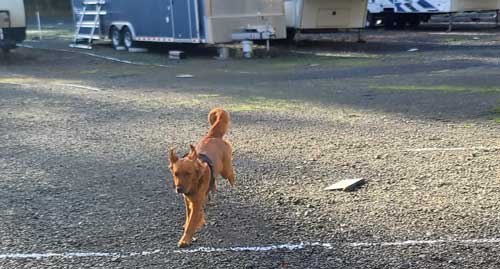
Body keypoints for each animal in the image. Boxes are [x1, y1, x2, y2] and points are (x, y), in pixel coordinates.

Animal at [169, 107, 235, 247]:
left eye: (188, 173)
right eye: (176, 174)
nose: (179, 189)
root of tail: (212, 136)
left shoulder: (196, 202)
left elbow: (192, 222)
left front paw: (185, 239)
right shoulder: (188, 200)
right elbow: (189, 217)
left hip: (225, 169)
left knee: (230, 174)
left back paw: (232, 181)